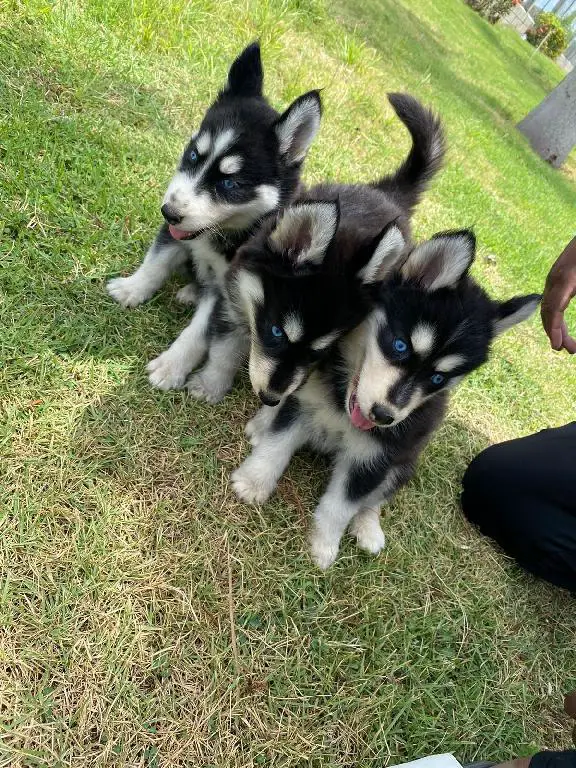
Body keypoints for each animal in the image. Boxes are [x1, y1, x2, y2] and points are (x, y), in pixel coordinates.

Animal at [106, 42, 322, 392]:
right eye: (194, 155)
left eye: (230, 184)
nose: (169, 212)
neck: (222, 235)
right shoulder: (175, 236)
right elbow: (156, 262)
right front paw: (131, 288)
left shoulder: (229, 291)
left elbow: (199, 331)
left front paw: (171, 366)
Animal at [232, 228, 544, 568]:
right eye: (400, 346)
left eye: (438, 378)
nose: (383, 416)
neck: (342, 406)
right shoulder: (302, 405)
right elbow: (276, 447)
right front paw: (252, 484)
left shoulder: (376, 457)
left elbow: (342, 505)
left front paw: (324, 546)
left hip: (402, 465)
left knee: (375, 498)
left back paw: (369, 528)